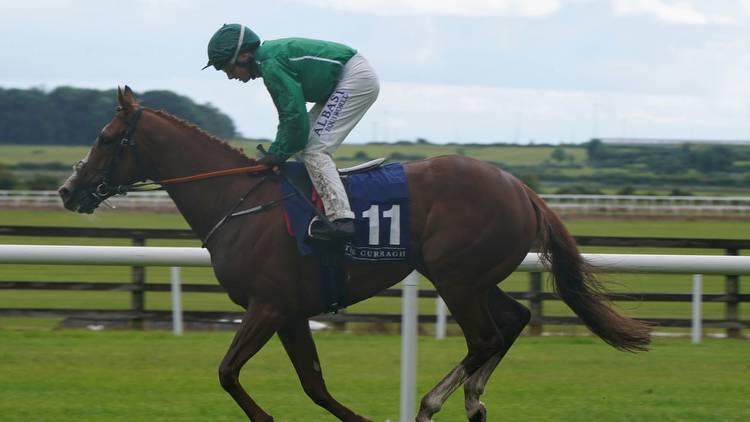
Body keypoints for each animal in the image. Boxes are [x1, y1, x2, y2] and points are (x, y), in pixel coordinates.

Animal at [57, 86, 652, 422]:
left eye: (106, 138)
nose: (67, 190)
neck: (239, 201)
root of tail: (521, 188)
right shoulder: (290, 313)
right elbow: (314, 384)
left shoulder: (269, 306)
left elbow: (229, 372)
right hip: (476, 277)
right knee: (515, 320)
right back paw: (474, 400)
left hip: (456, 278)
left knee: (485, 337)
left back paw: (431, 405)